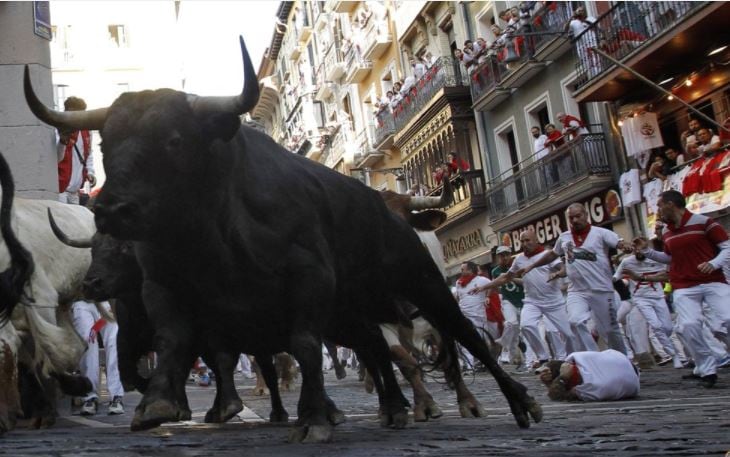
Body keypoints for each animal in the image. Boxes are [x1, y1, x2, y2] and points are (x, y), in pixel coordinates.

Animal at [25, 37, 536, 440]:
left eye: (173, 139)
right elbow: (172, 343)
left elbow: (303, 346)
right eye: (105, 142)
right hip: (352, 312)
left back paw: (516, 402)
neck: (209, 234)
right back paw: (394, 409)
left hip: (422, 284)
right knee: (377, 347)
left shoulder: (307, 282)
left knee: (463, 336)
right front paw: (159, 405)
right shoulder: (167, 292)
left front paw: (313, 418)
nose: (112, 210)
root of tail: (389, 209)